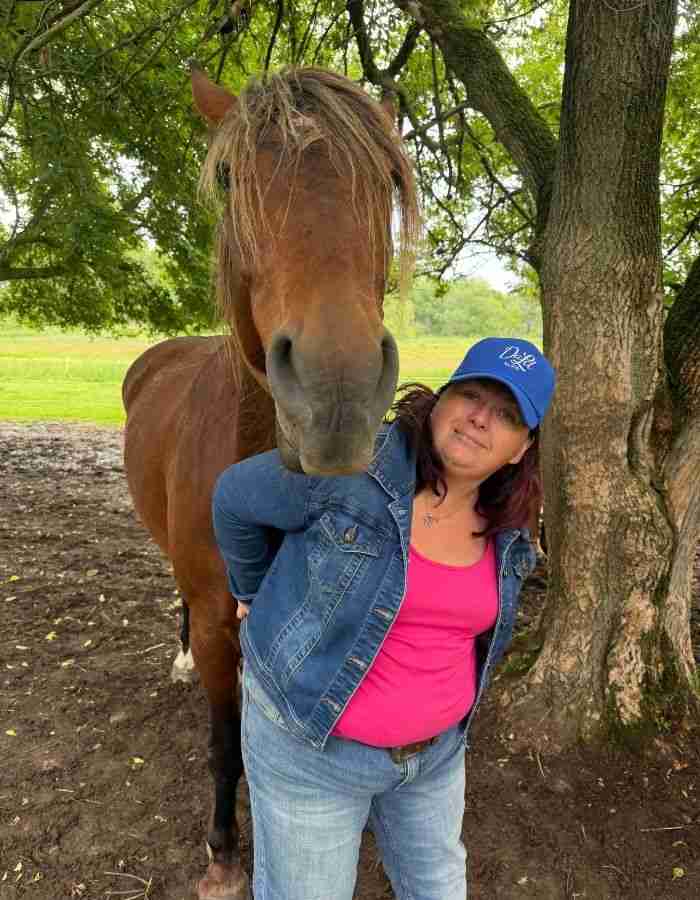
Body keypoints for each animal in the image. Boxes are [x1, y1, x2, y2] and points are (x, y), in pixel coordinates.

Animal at [122, 64, 419, 900]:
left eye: (389, 177)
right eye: (228, 175)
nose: (336, 394)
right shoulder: (222, 623)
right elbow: (226, 742)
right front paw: (224, 853)